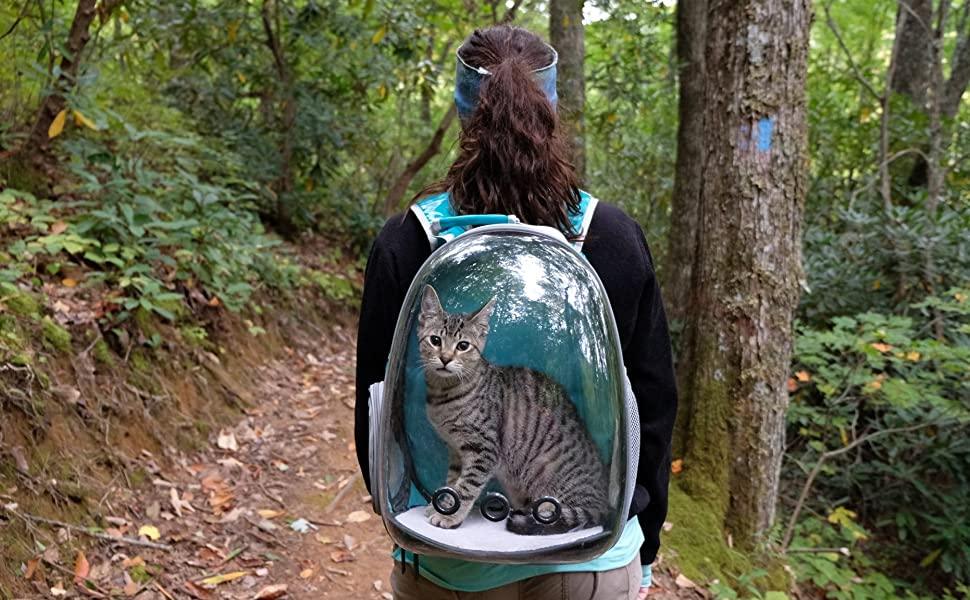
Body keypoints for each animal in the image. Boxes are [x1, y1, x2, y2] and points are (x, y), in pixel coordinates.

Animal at [416, 286, 604, 536]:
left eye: (463, 346)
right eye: (435, 340)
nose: (445, 358)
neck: (444, 394)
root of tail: (607, 503)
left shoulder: (484, 449)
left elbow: (466, 486)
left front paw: (450, 515)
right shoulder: (455, 450)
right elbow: (452, 482)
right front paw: (440, 504)